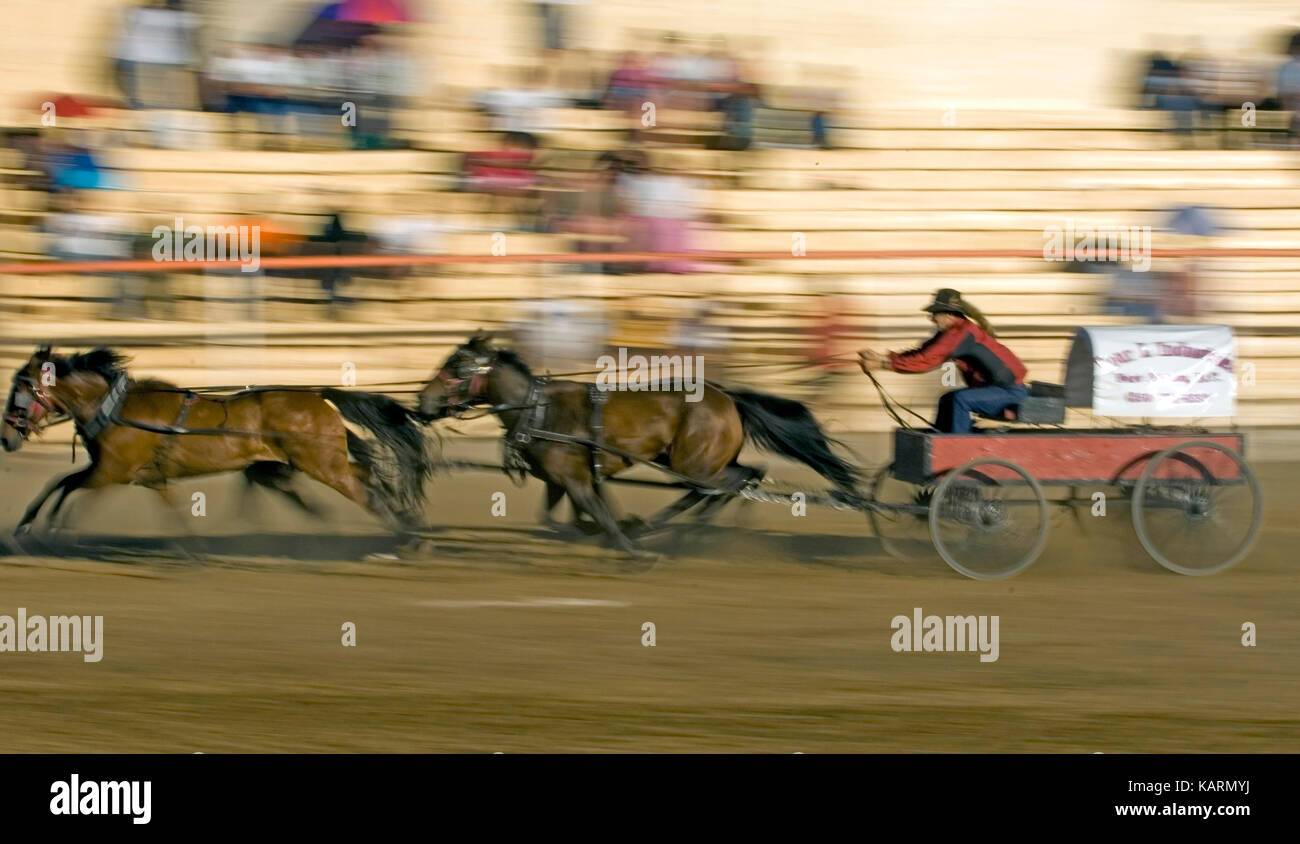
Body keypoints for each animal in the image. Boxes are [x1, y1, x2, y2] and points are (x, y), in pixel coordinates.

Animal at [2, 345, 434, 535]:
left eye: (20, 387)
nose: (7, 437)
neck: (114, 406)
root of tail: (317, 396)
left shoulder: (112, 471)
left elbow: (67, 487)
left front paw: (45, 527)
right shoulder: (125, 473)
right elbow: (61, 482)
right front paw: (30, 524)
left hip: (323, 465)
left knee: (365, 491)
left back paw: (407, 535)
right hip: (310, 462)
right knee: (366, 476)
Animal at [418, 332, 863, 556]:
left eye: (458, 365)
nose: (422, 401)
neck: (537, 410)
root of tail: (729, 398)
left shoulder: (574, 479)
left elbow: (594, 513)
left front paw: (621, 540)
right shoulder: (561, 480)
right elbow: (563, 516)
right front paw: (603, 530)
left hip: (692, 463)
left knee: (729, 483)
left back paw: (685, 532)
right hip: (695, 462)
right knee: (735, 480)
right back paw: (674, 528)